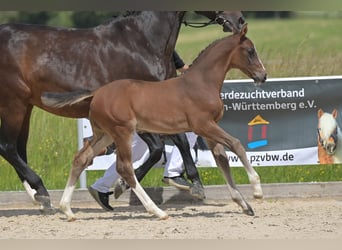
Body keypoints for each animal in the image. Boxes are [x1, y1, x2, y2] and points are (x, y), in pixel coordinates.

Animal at [0, 10, 246, 209]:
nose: (240, 20)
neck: (142, 42)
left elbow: (178, 142)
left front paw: (191, 182)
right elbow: (158, 149)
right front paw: (119, 187)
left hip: (26, 106)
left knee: (18, 148)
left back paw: (37, 196)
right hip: (13, 103)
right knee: (8, 147)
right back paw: (41, 191)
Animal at [42, 23, 268, 219]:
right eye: (250, 51)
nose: (263, 76)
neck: (201, 83)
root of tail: (97, 92)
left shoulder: (210, 130)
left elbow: (223, 162)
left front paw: (245, 205)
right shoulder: (203, 125)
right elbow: (236, 144)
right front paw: (257, 190)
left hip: (105, 134)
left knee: (81, 159)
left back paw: (67, 210)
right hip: (122, 131)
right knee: (124, 168)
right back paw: (157, 211)